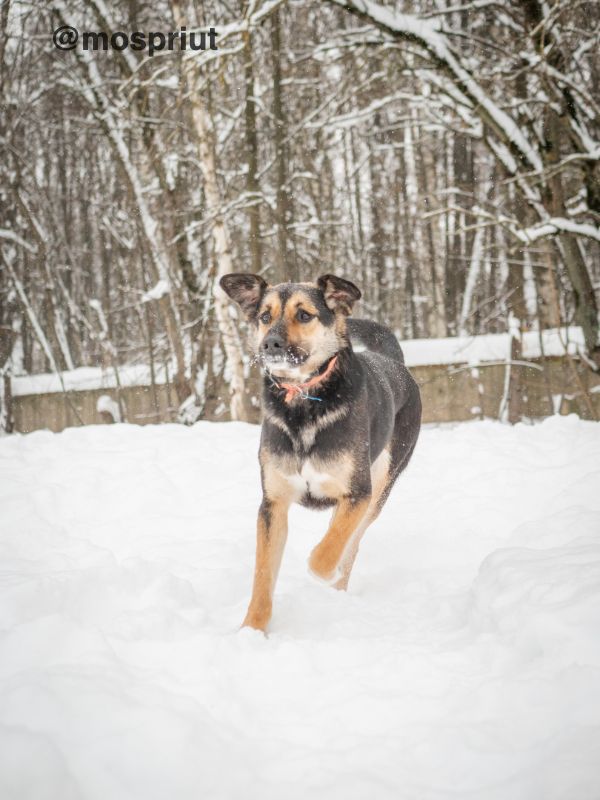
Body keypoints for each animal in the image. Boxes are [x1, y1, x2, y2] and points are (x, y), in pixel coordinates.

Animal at [220, 276, 422, 632]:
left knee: (352, 542)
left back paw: (338, 585)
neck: (303, 402)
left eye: (304, 315)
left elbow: (328, 551)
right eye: (264, 317)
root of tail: (396, 364)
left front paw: (323, 570)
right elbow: (262, 575)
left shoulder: (357, 493)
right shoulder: (273, 504)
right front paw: (252, 630)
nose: (269, 345)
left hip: (381, 485)